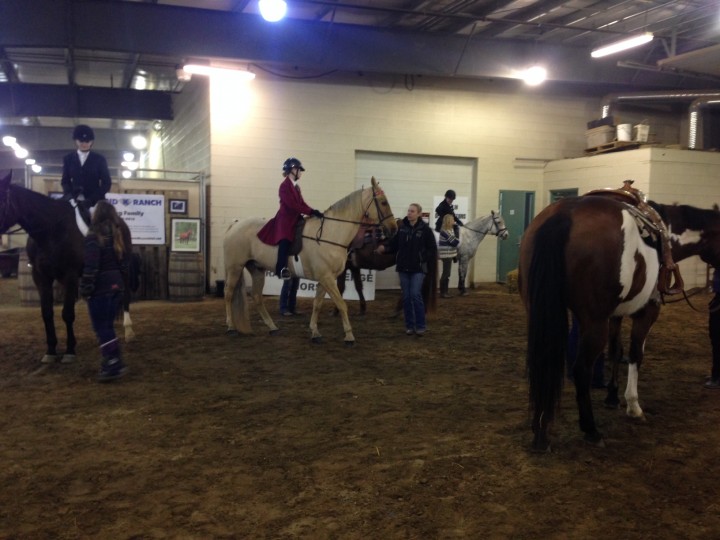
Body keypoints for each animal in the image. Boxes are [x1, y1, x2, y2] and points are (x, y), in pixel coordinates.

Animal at [0, 171, 138, 364]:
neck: (50, 231)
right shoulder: (40, 276)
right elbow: (47, 313)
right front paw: (50, 350)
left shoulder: (70, 275)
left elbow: (67, 313)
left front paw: (69, 350)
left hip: (122, 266)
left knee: (125, 295)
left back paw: (129, 331)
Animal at [223, 177, 397, 344]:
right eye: (383, 202)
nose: (394, 229)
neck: (330, 234)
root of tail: (235, 225)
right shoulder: (327, 278)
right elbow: (342, 304)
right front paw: (349, 336)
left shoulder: (326, 278)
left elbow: (317, 304)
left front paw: (315, 332)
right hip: (235, 267)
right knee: (229, 294)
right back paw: (231, 327)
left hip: (257, 269)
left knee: (257, 297)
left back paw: (272, 327)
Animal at [519, 193, 720, 452]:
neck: (666, 234)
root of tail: (564, 214)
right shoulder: (648, 310)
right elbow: (635, 354)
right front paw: (633, 406)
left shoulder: (614, 315)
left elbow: (616, 350)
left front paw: (612, 397)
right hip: (594, 323)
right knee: (581, 369)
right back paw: (591, 430)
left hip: (541, 311)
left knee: (543, 362)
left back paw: (540, 432)